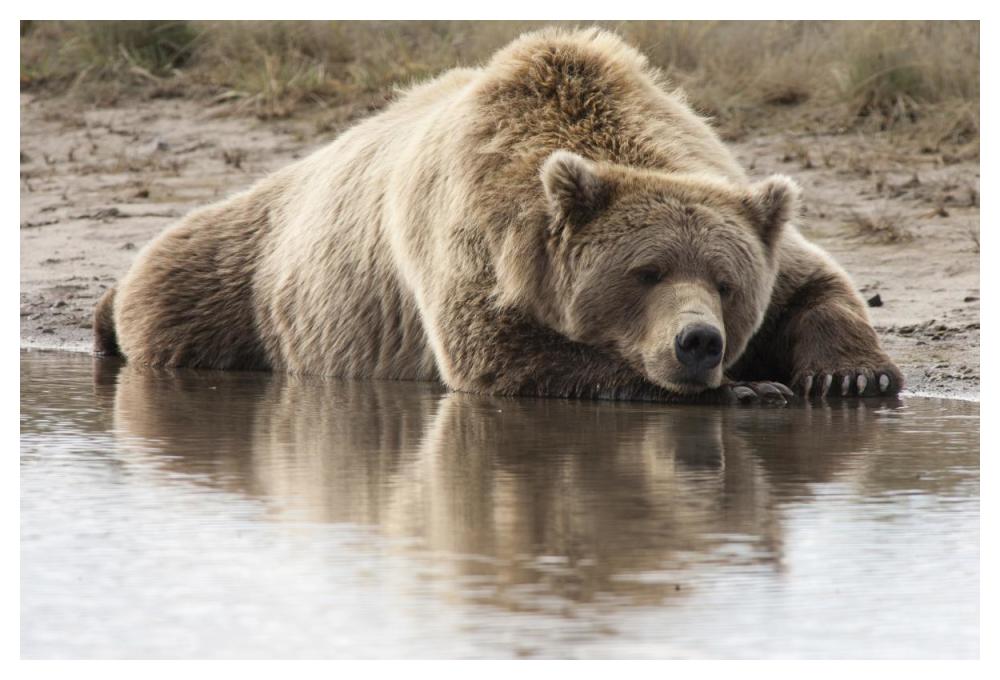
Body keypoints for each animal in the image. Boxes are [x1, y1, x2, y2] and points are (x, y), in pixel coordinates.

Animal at [95, 28, 902, 402]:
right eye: (645, 272)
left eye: (727, 283)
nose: (699, 341)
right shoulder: (476, 241)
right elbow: (506, 356)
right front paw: (749, 388)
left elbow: (813, 281)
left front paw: (851, 378)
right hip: (241, 280)